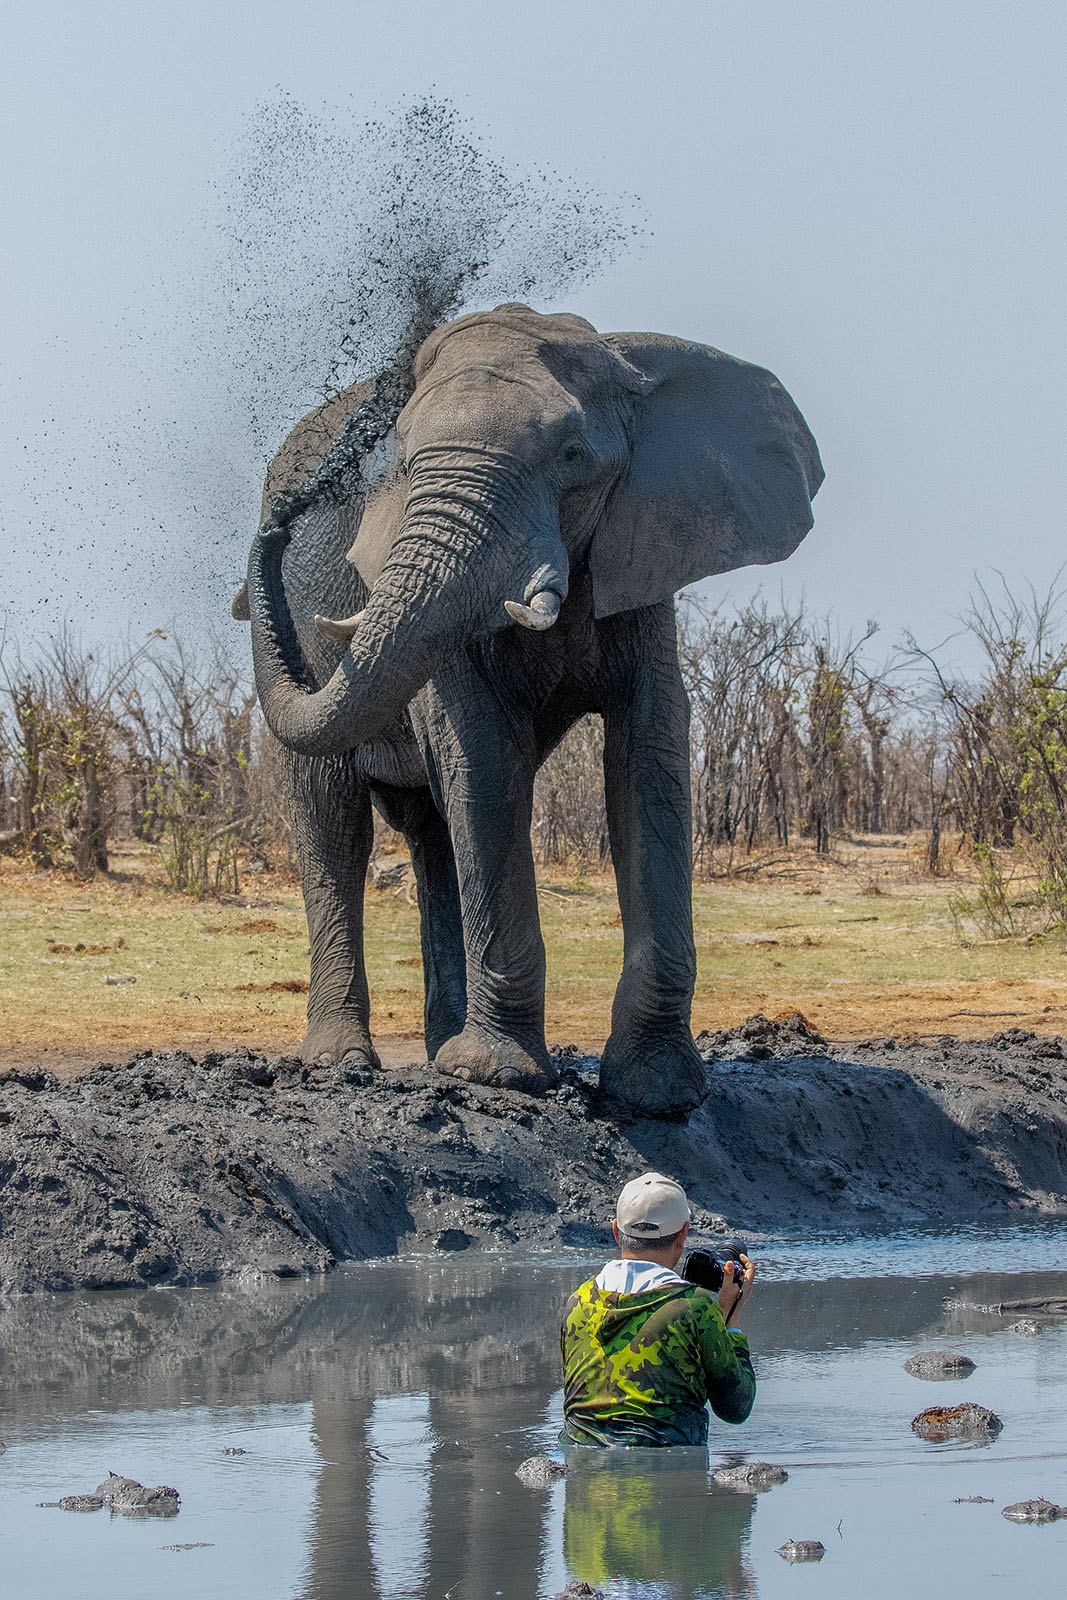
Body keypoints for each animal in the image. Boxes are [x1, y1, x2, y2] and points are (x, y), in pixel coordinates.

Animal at [244, 300, 825, 1113]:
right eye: (404, 465)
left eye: (573, 456)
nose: (278, 522)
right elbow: (483, 755)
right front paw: (497, 1078)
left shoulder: (642, 553)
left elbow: (649, 752)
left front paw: (655, 1094)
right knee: (334, 819)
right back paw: (341, 1064)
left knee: (435, 839)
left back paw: (441, 1052)